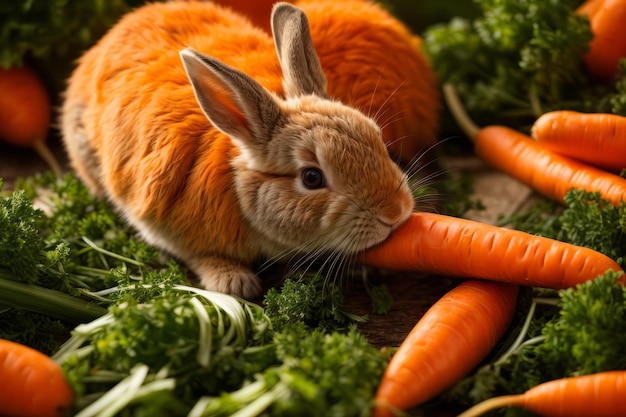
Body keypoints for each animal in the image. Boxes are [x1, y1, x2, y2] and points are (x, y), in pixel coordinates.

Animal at [59, 0, 414, 300]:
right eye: (312, 178)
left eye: (377, 137)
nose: (396, 212)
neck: (240, 192)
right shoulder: (162, 225)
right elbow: (198, 255)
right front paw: (234, 282)